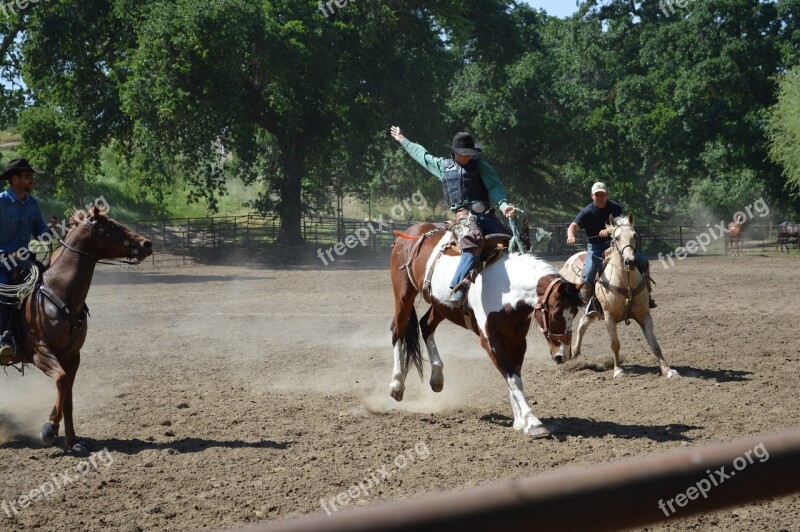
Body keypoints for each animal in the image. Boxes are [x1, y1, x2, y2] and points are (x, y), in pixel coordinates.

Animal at [390, 222, 580, 438]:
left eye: (575, 313)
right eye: (556, 314)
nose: (563, 355)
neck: (506, 291)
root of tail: (413, 231)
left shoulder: (517, 341)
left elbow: (515, 377)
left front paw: (519, 421)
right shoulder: (492, 342)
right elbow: (513, 379)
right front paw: (532, 422)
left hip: (441, 306)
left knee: (425, 325)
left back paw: (437, 377)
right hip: (404, 294)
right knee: (397, 331)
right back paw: (396, 385)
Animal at [560, 214, 680, 380]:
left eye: (635, 235)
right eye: (616, 238)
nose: (630, 261)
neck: (625, 281)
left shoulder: (645, 315)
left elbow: (654, 344)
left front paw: (667, 370)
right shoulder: (609, 317)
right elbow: (615, 344)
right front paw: (618, 370)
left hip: (592, 311)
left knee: (582, 325)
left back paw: (575, 352)